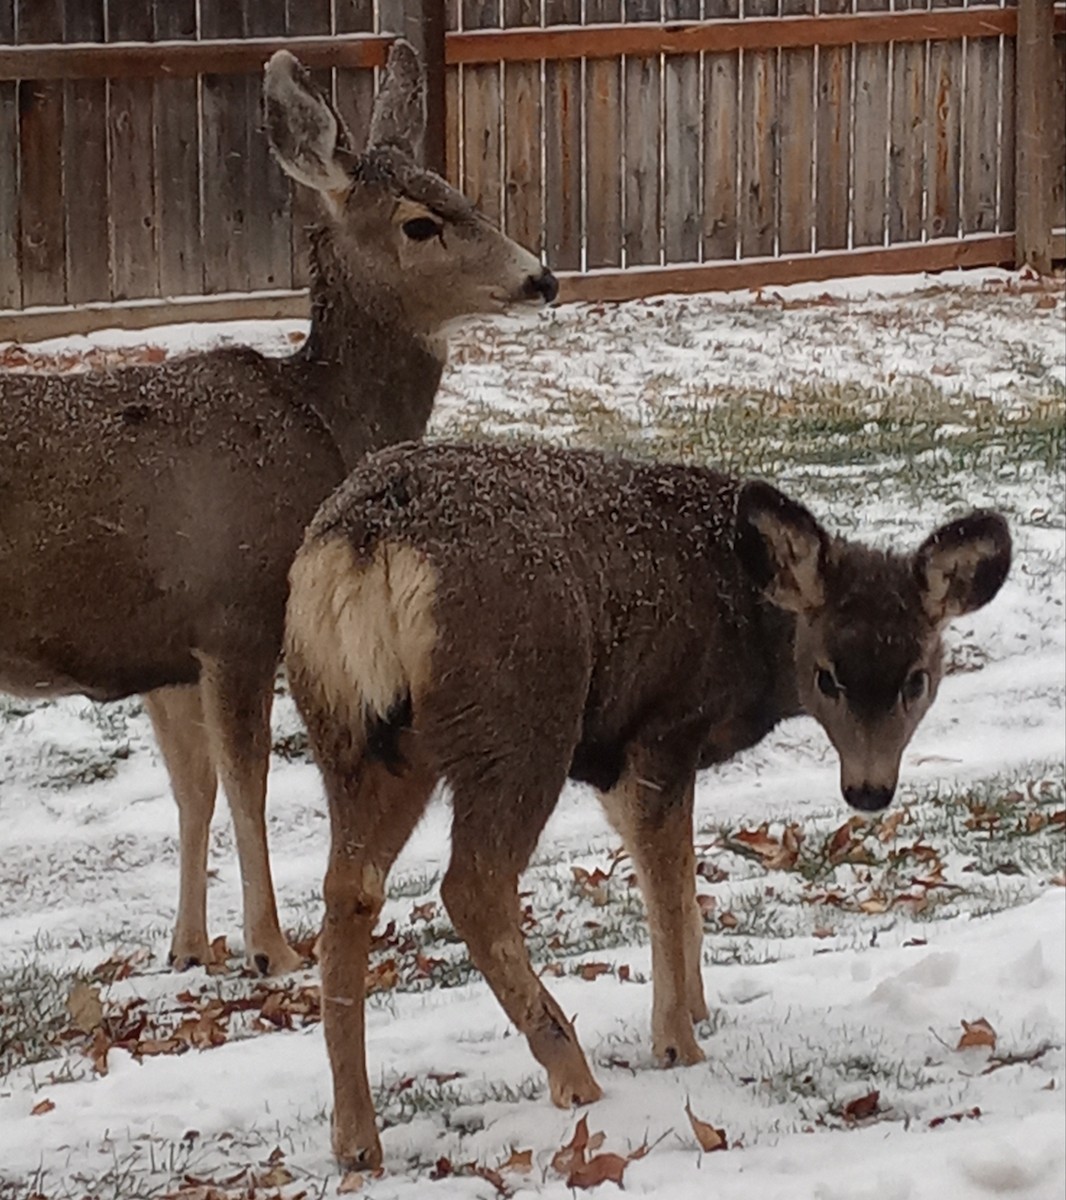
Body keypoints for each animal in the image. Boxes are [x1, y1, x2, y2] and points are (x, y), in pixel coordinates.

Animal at [0, 43, 557, 978]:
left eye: (460, 190)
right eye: (420, 223)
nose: (541, 278)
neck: (321, 427)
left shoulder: (169, 649)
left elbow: (192, 790)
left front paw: (189, 947)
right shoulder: (238, 612)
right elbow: (247, 784)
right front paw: (272, 947)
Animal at [283, 439, 1011, 1169]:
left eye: (916, 678)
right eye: (827, 675)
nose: (868, 790)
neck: (749, 631)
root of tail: (366, 544)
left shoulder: (616, 765)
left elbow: (680, 885)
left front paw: (698, 1007)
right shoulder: (665, 727)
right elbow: (667, 890)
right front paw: (677, 1040)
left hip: (354, 734)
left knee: (349, 890)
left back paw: (356, 1138)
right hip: (520, 716)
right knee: (472, 884)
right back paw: (572, 1072)